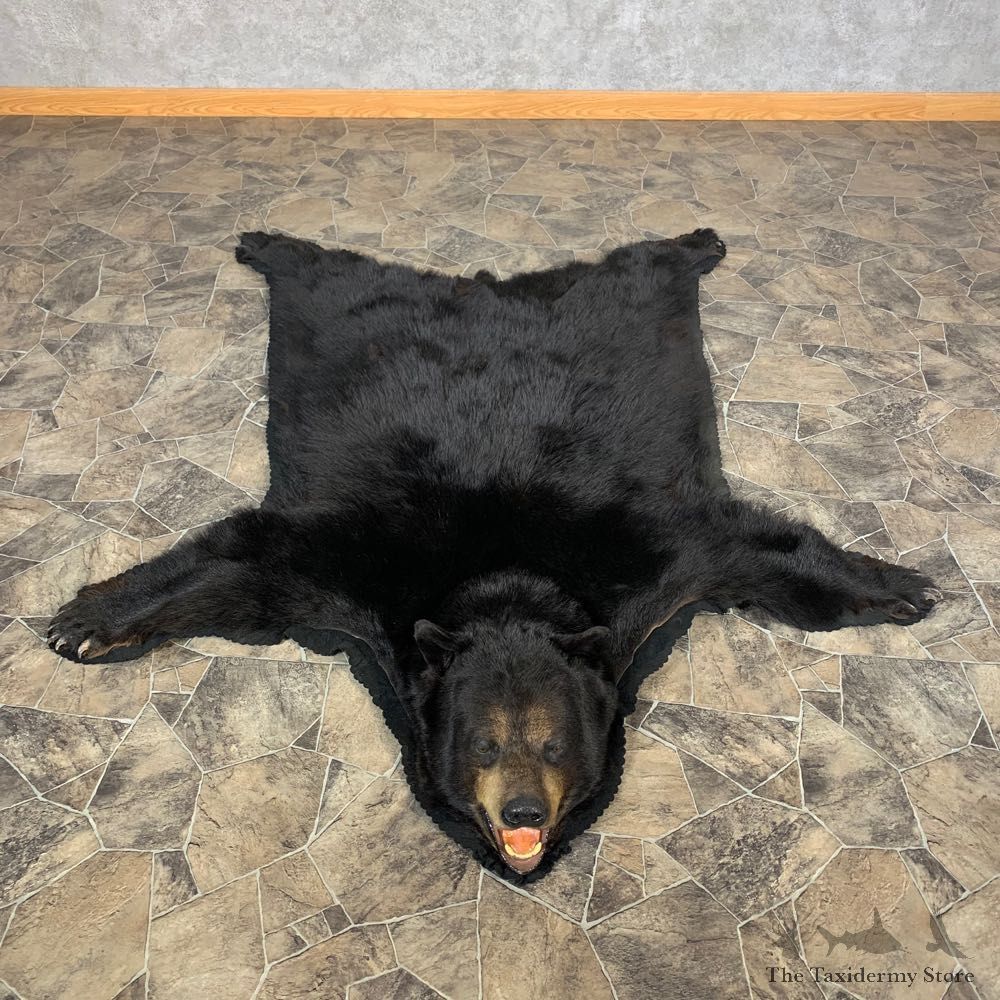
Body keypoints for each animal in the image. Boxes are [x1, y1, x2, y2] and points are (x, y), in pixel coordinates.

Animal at [48, 228, 939, 880]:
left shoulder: (645, 557)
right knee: (325, 267)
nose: (522, 813)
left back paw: (698, 242)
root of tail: (480, 287)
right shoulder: (362, 562)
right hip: (337, 304)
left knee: (639, 264)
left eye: (553, 745)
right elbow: (242, 560)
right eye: (482, 745)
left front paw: (901, 585)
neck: (508, 579)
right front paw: (85, 621)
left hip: (619, 301)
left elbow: (756, 548)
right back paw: (266, 242)